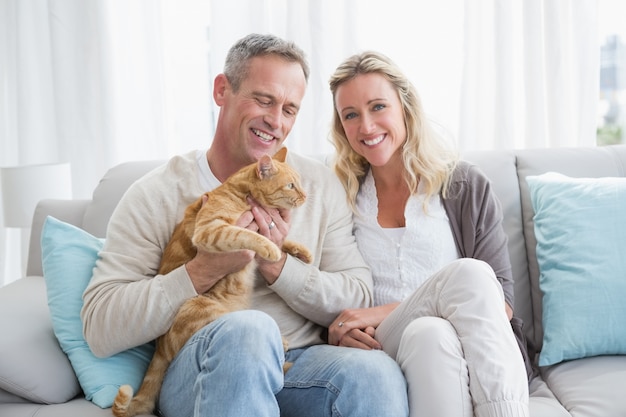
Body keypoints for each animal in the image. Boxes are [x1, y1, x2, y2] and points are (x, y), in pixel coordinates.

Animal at [112, 148, 312, 414]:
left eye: (299, 183)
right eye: (291, 185)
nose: (305, 195)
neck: (240, 192)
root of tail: (160, 348)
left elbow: (283, 242)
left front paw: (300, 251)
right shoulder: (211, 230)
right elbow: (246, 234)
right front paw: (270, 248)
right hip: (203, 308)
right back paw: (281, 342)